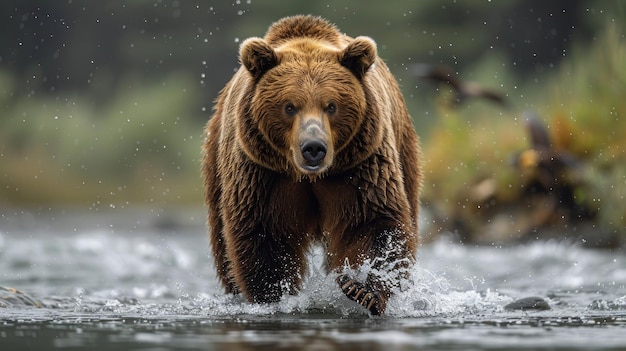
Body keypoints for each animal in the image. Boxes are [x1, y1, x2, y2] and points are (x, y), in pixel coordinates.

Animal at [202, 15, 422, 316]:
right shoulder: (263, 175)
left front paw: (362, 289)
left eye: (331, 105)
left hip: (403, 148)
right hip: (217, 162)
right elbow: (263, 233)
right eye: (289, 106)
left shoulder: (360, 168)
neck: (310, 177)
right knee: (223, 243)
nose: (314, 148)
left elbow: (374, 221)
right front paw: (274, 295)